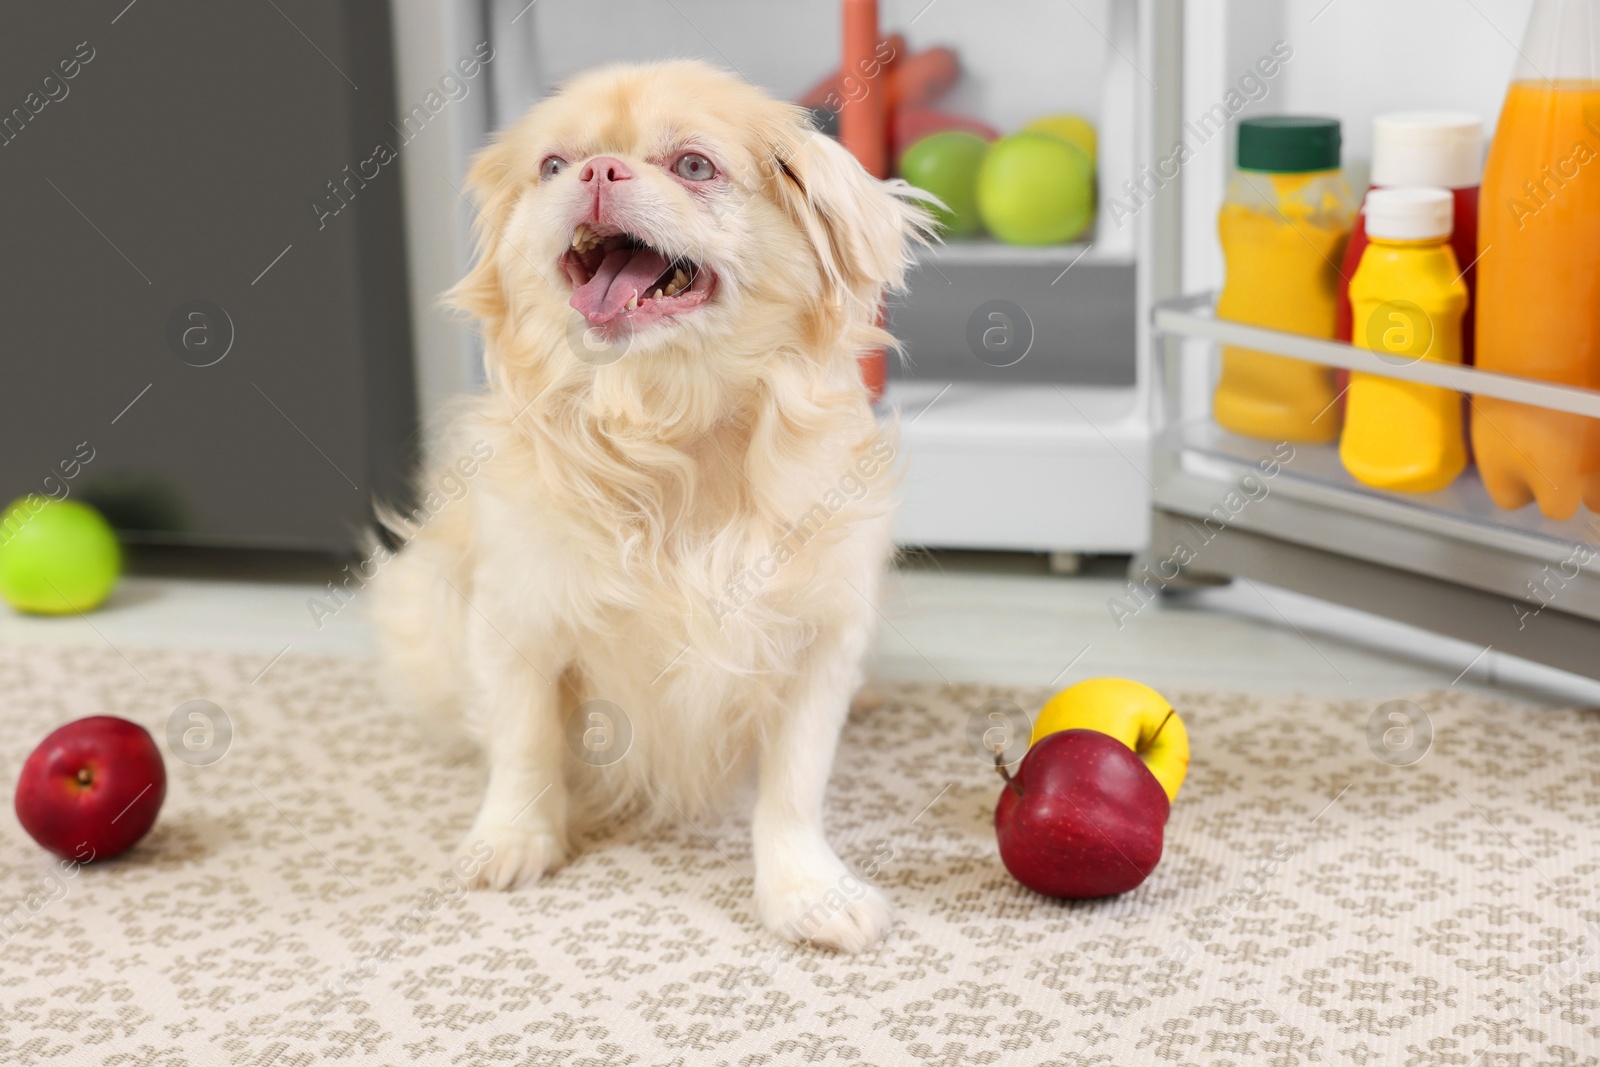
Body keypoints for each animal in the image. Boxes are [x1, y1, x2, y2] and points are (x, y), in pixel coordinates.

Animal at [368, 62, 934, 953]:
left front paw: (807, 891)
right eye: (554, 166)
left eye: (694, 166)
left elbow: (793, 787)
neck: (668, 432)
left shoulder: (820, 641)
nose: (599, 172)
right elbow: (524, 742)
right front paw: (514, 840)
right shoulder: (517, 618)